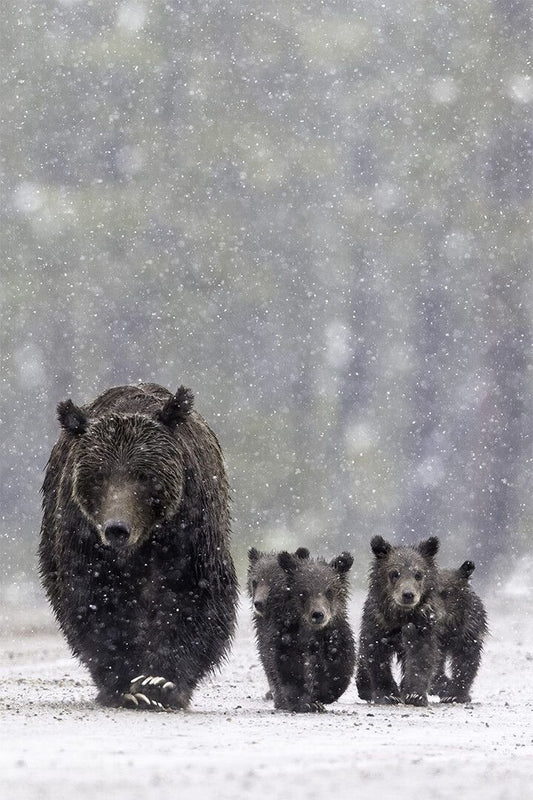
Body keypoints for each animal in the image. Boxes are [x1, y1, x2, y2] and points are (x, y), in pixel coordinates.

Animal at [39, 383, 238, 710]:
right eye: (99, 476)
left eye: (144, 475)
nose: (117, 528)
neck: (143, 543)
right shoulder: (84, 538)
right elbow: (95, 601)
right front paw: (125, 685)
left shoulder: (188, 532)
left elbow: (191, 597)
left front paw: (159, 683)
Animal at [252, 550, 355, 713]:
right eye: (303, 592)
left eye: (329, 591)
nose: (318, 614)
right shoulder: (286, 633)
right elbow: (290, 665)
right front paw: (305, 702)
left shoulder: (334, 632)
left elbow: (340, 662)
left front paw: (322, 694)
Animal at [355, 535, 443, 707]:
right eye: (394, 573)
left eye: (418, 574)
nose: (408, 594)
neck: (400, 617)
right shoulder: (378, 623)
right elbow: (376, 656)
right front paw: (388, 695)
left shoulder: (422, 624)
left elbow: (421, 656)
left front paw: (415, 696)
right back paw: (364, 688)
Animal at [430, 560, 488, 703]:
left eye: (446, 592)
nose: (433, 615)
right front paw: (444, 687)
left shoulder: (468, 634)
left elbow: (466, 662)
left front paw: (458, 693)